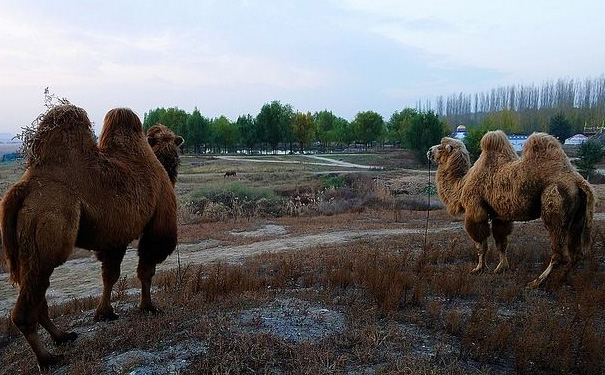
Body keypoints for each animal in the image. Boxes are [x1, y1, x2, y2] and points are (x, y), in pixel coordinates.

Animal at [0, 105, 179, 370]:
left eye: (175, 141)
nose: (174, 157)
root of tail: (23, 188)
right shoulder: (157, 223)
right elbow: (146, 271)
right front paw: (148, 307)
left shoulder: (114, 237)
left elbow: (109, 275)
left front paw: (105, 313)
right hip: (47, 228)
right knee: (29, 300)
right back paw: (48, 358)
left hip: (23, 247)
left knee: (36, 292)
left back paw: (62, 336)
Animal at [428, 131, 592, 290]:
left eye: (440, 147)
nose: (429, 151)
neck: (461, 185)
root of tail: (579, 182)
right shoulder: (500, 216)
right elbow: (501, 243)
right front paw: (501, 268)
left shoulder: (475, 210)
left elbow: (481, 244)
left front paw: (479, 268)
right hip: (578, 216)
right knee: (577, 254)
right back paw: (562, 278)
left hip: (555, 204)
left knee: (559, 253)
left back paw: (536, 282)